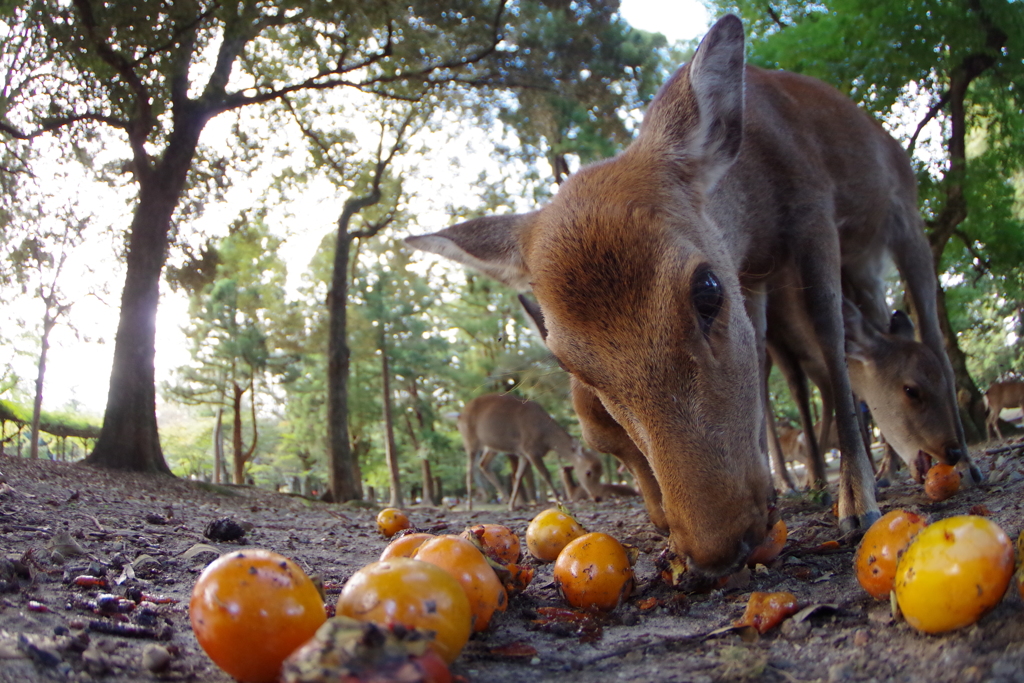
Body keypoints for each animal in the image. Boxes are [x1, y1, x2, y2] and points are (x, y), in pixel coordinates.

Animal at [454, 393, 598, 509]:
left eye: (600, 471)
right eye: (588, 472)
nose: (597, 497)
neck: (546, 437)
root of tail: (459, 415)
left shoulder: (523, 453)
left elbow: (518, 476)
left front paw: (512, 506)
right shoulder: (530, 449)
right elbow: (545, 473)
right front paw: (559, 500)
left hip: (491, 446)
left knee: (483, 465)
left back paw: (506, 499)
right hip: (470, 439)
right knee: (469, 471)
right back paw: (469, 506)